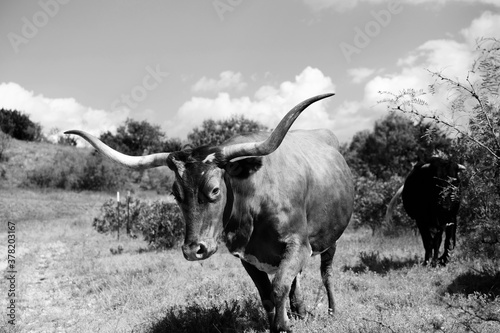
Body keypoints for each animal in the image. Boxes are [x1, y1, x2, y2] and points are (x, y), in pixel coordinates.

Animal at [65, 94, 356, 332]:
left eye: (215, 190)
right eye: (175, 193)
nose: (194, 250)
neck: (252, 197)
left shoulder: (299, 244)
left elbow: (279, 286)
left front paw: (284, 325)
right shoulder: (247, 256)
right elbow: (267, 295)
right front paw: (283, 319)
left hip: (331, 240)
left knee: (326, 274)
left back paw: (331, 311)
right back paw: (300, 310)